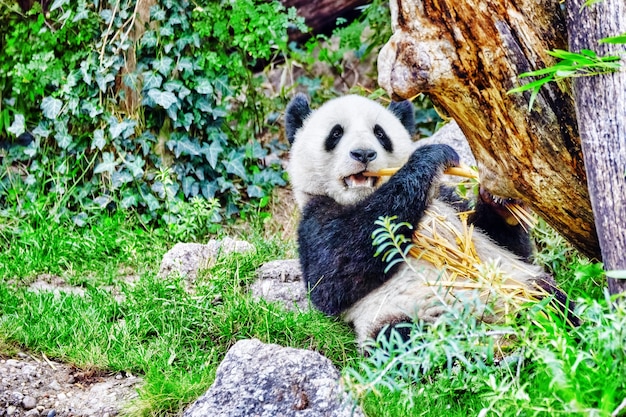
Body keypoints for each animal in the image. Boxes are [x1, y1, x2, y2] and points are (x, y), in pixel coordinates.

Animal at [286, 93, 568, 344]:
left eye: (380, 134)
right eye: (335, 134)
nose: (363, 154)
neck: (362, 198)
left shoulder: (446, 200)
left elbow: (509, 245)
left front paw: (501, 201)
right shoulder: (315, 218)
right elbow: (334, 276)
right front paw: (431, 156)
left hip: (519, 282)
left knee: (552, 299)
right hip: (399, 315)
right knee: (400, 341)